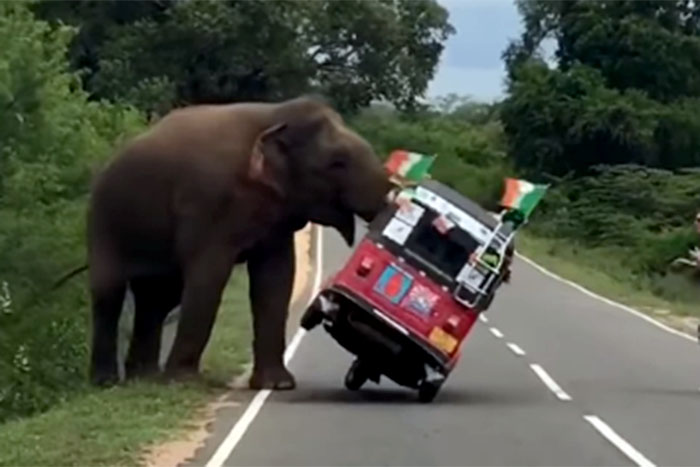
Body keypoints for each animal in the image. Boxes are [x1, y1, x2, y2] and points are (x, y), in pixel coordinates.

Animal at [87, 95, 392, 389]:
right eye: (337, 163)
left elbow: (276, 277)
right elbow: (209, 276)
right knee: (109, 292)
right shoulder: (207, 203)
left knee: (157, 298)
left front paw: (277, 384)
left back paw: (144, 378)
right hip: (103, 218)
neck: (273, 116)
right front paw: (182, 383)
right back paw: (107, 382)